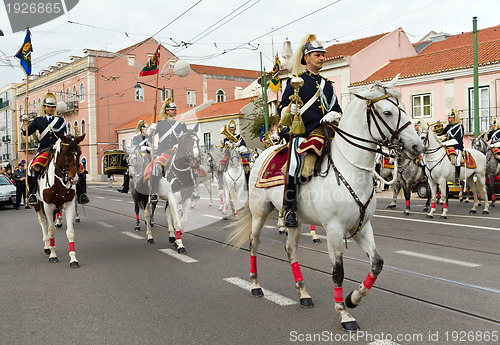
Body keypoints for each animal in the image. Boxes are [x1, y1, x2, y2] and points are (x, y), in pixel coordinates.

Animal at [34, 133, 86, 268]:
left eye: (79, 152)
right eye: (65, 153)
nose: (74, 179)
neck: (58, 181)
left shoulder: (69, 204)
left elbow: (70, 232)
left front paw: (73, 259)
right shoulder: (48, 206)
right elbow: (51, 230)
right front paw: (53, 255)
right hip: (38, 204)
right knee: (43, 222)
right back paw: (47, 246)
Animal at [226, 76, 422, 330]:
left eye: (405, 107)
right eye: (388, 112)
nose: (418, 146)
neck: (351, 169)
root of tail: (264, 153)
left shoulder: (362, 226)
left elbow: (377, 263)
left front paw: (353, 299)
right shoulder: (335, 229)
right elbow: (338, 271)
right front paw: (344, 314)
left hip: (295, 219)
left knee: (290, 249)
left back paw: (303, 293)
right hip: (259, 212)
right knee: (253, 243)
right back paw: (256, 285)